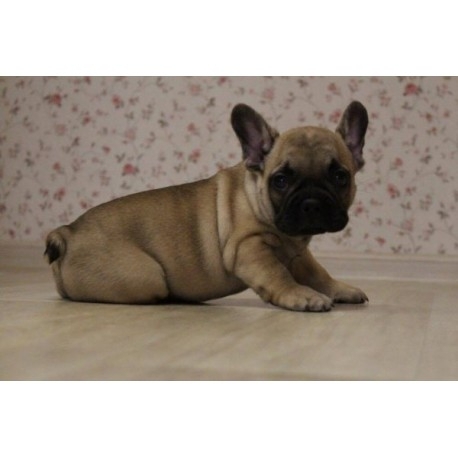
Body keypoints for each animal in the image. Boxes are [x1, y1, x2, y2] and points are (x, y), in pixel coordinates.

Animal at [45, 101, 369, 312]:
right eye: (280, 180)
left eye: (340, 177)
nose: (312, 202)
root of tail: (67, 233)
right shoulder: (248, 248)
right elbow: (278, 275)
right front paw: (301, 296)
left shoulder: (298, 254)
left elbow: (318, 273)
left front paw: (339, 290)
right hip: (144, 276)